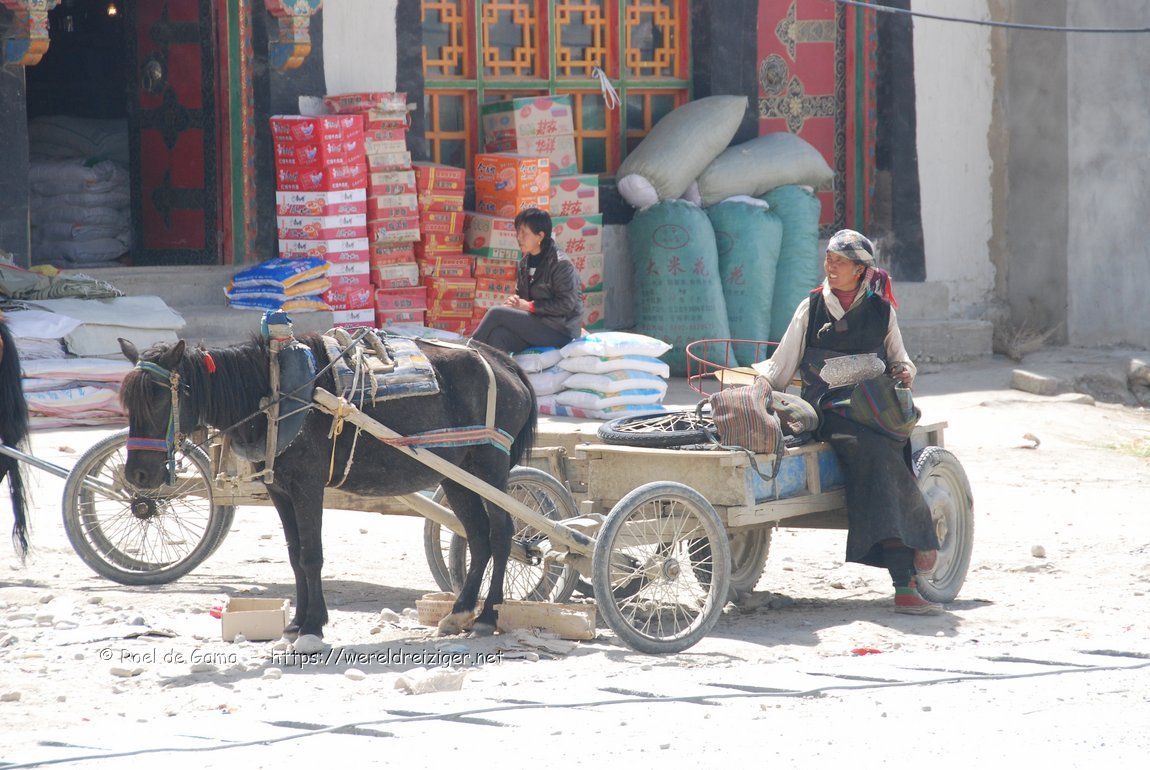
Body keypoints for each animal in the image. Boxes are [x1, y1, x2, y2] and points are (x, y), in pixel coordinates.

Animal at [117, 332, 537, 652]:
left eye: (158, 398)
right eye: (127, 403)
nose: (138, 473)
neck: (274, 391)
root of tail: (502, 363)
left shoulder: (307, 486)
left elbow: (311, 555)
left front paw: (312, 626)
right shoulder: (280, 489)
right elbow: (294, 555)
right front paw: (297, 623)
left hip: (490, 466)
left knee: (501, 535)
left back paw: (487, 615)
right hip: (456, 473)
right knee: (478, 537)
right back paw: (460, 612)